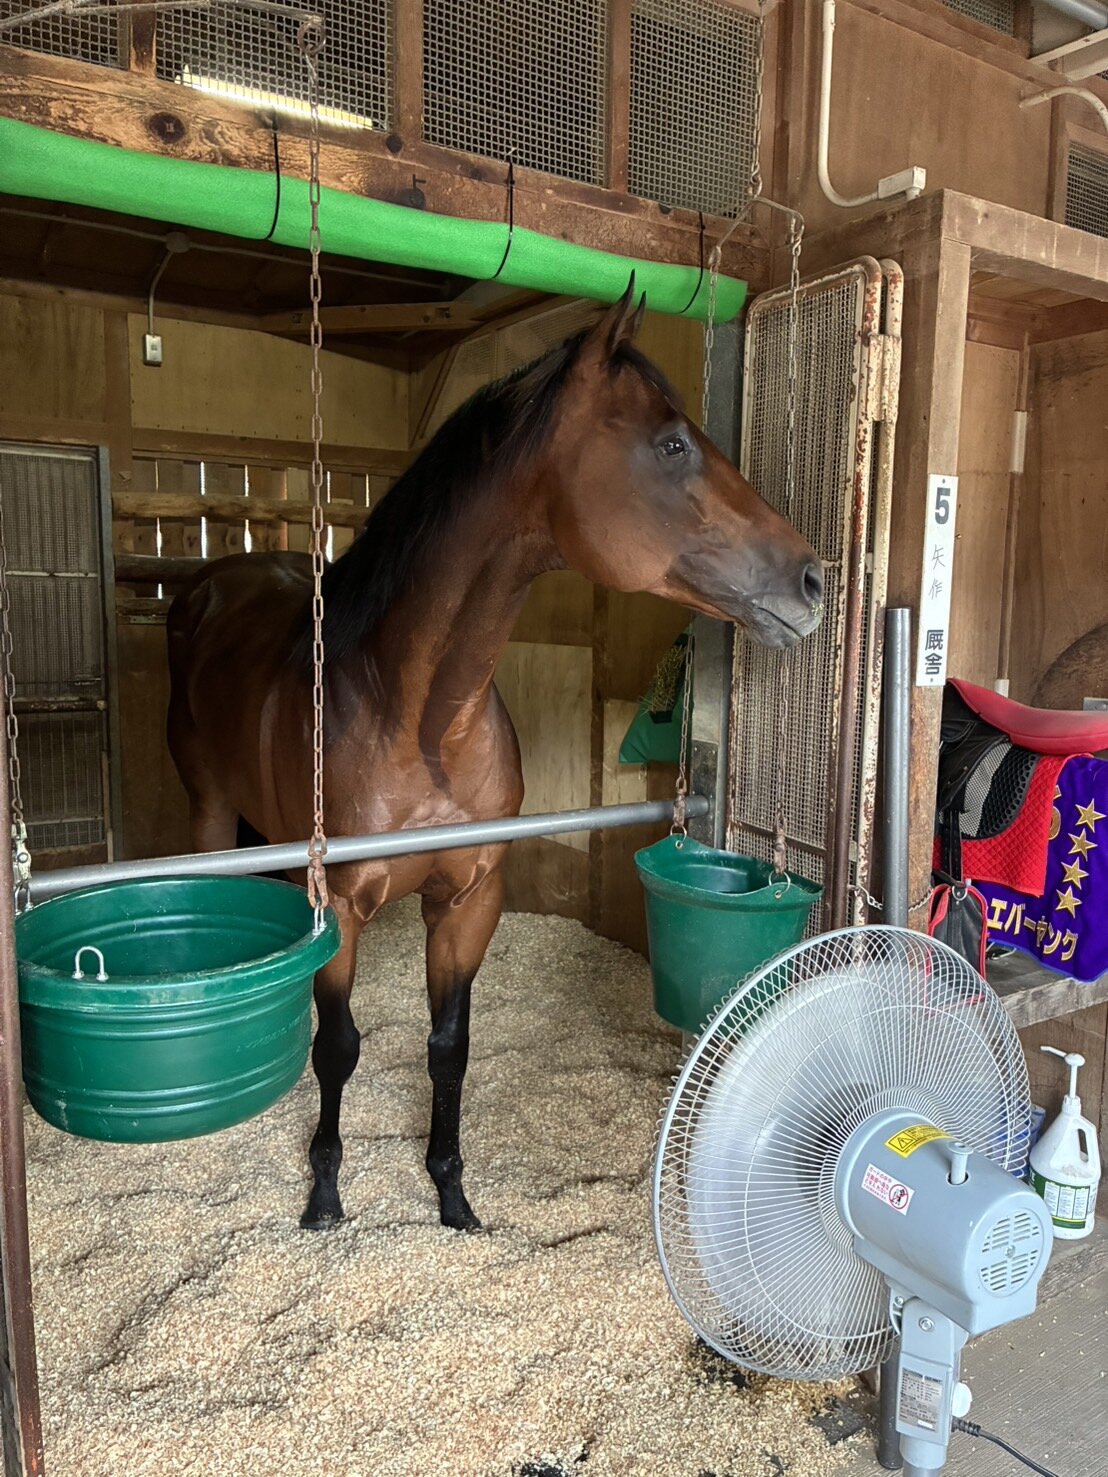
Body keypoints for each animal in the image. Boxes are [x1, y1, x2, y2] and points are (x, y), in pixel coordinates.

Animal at [166, 284, 825, 1232]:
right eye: (671, 443)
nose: (813, 580)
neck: (418, 720)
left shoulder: (470, 896)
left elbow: (450, 1045)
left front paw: (452, 1191)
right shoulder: (343, 907)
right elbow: (339, 1047)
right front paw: (324, 1193)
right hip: (212, 812)